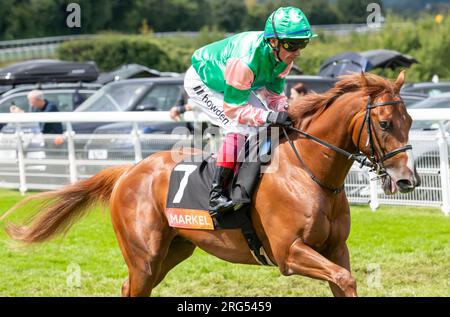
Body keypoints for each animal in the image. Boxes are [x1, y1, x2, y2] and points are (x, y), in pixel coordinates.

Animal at [1, 70, 420, 296]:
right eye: (385, 123)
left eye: (411, 120)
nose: (408, 180)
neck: (308, 173)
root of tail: (127, 172)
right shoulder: (289, 253)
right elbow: (342, 278)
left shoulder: (335, 249)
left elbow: (345, 280)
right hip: (144, 256)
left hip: (173, 251)